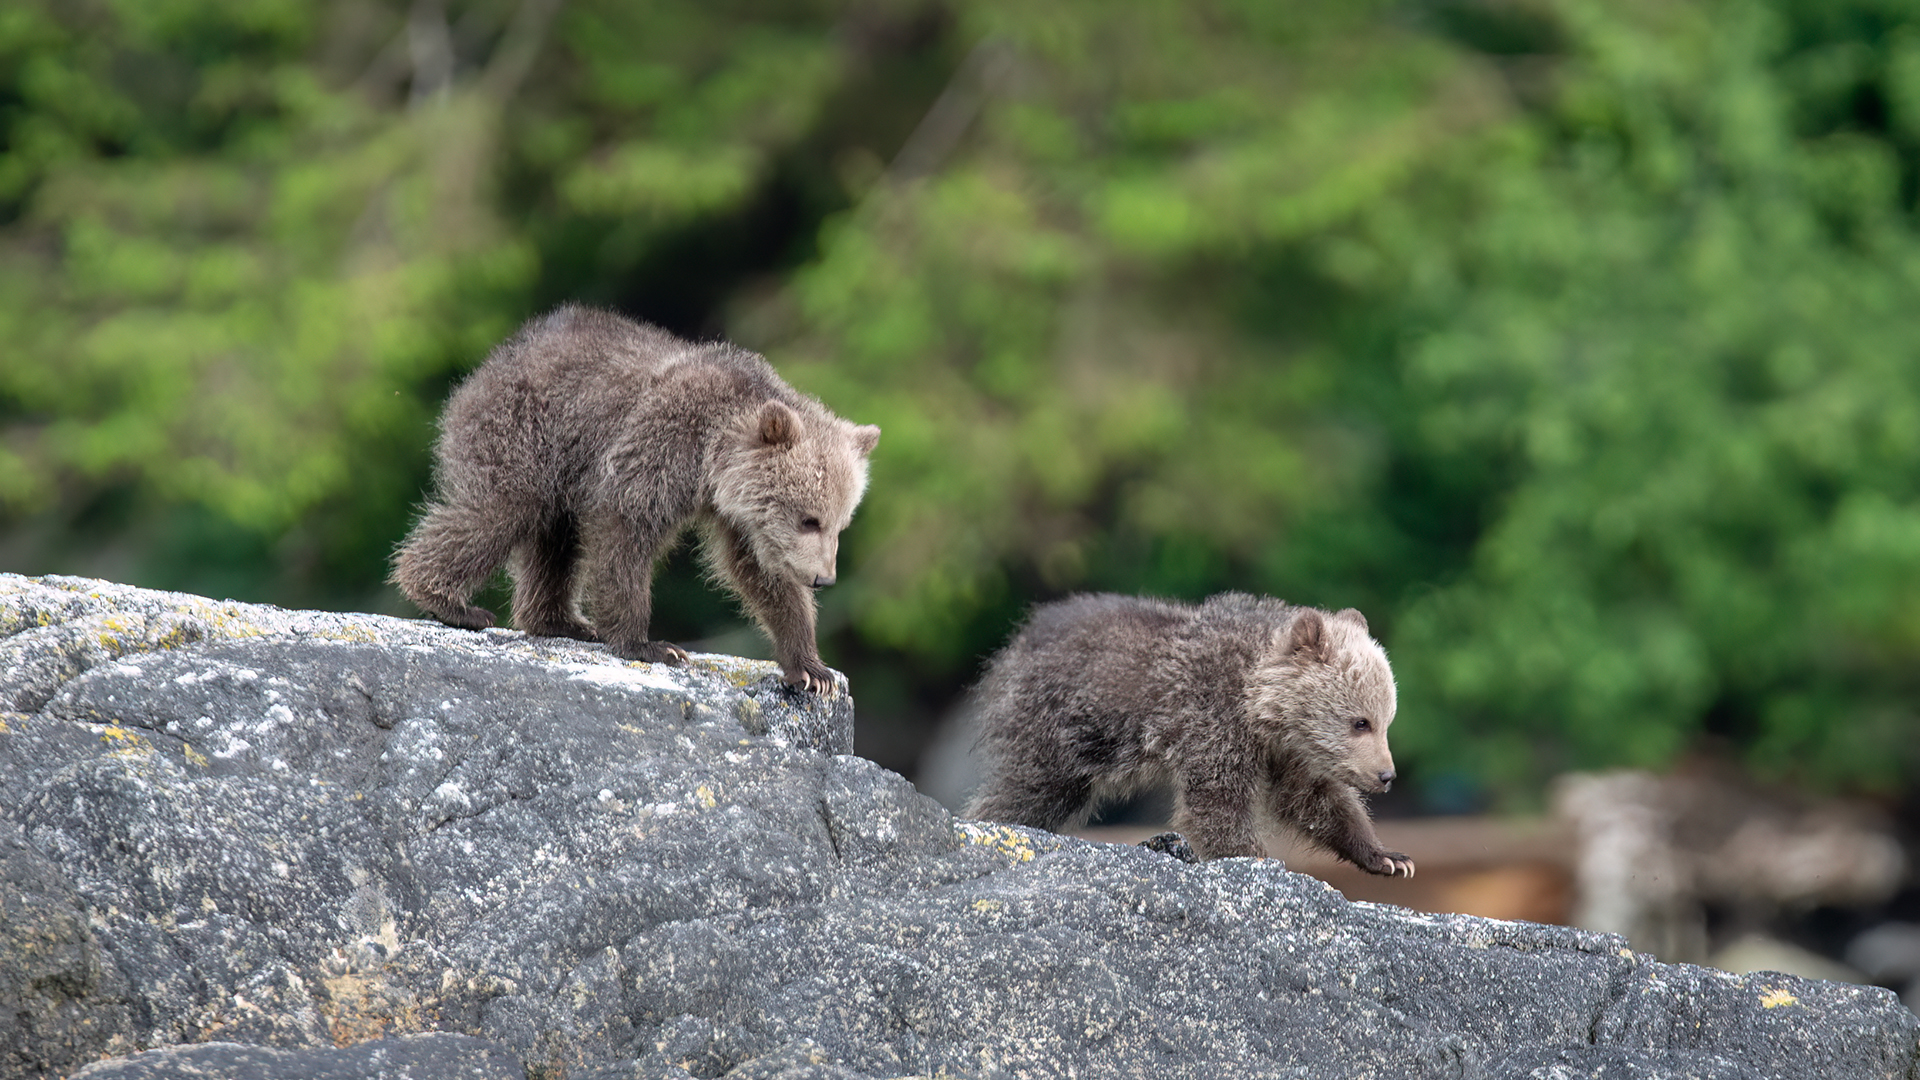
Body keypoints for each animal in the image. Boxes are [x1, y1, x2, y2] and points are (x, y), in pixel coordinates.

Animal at [390, 305, 880, 695]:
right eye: (809, 519)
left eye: (840, 524)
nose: (824, 579)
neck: (714, 454)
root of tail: (495, 359)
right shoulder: (658, 444)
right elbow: (624, 531)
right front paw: (650, 644)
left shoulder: (740, 514)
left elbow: (761, 573)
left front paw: (813, 670)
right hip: (524, 433)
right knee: (498, 512)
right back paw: (450, 600)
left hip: (564, 464)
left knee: (555, 540)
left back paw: (561, 621)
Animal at [965, 592, 1413, 875]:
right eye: (1361, 722)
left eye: (1386, 720)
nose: (1386, 775)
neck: (1258, 705)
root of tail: (1018, 640)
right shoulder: (1212, 720)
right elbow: (1215, 805)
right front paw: (1257, 858)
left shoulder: (1287, 755)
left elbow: (1316, 801)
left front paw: (1387, 856)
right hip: (1057, 726)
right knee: (1027, 792)